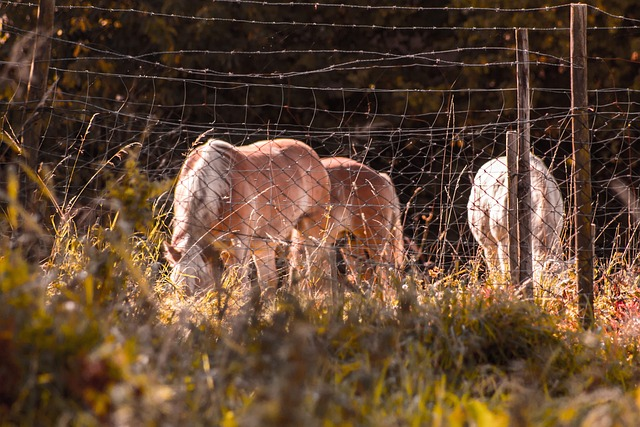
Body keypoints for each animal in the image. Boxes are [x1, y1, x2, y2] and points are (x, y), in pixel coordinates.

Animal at [162, 137, 332, 298]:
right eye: (176, 286)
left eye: (199, 282)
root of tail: (310, 152)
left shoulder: (239, 244)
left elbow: (239, 281)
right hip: (263, 244)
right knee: (270, 279)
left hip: (313, 229)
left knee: (316, 265)